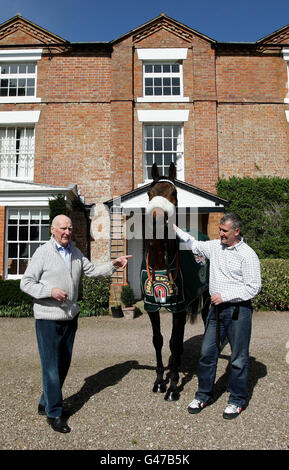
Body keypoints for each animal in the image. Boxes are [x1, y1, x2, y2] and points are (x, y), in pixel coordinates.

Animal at [140, 162, 209, 400]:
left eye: (174, 193)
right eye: (149, 193)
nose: (157, 219)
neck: (161, 260)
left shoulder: (178, 308)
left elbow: (173, 342)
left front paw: (172, 386)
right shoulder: (151, 307)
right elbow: (159, 340)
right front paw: (160, 381)